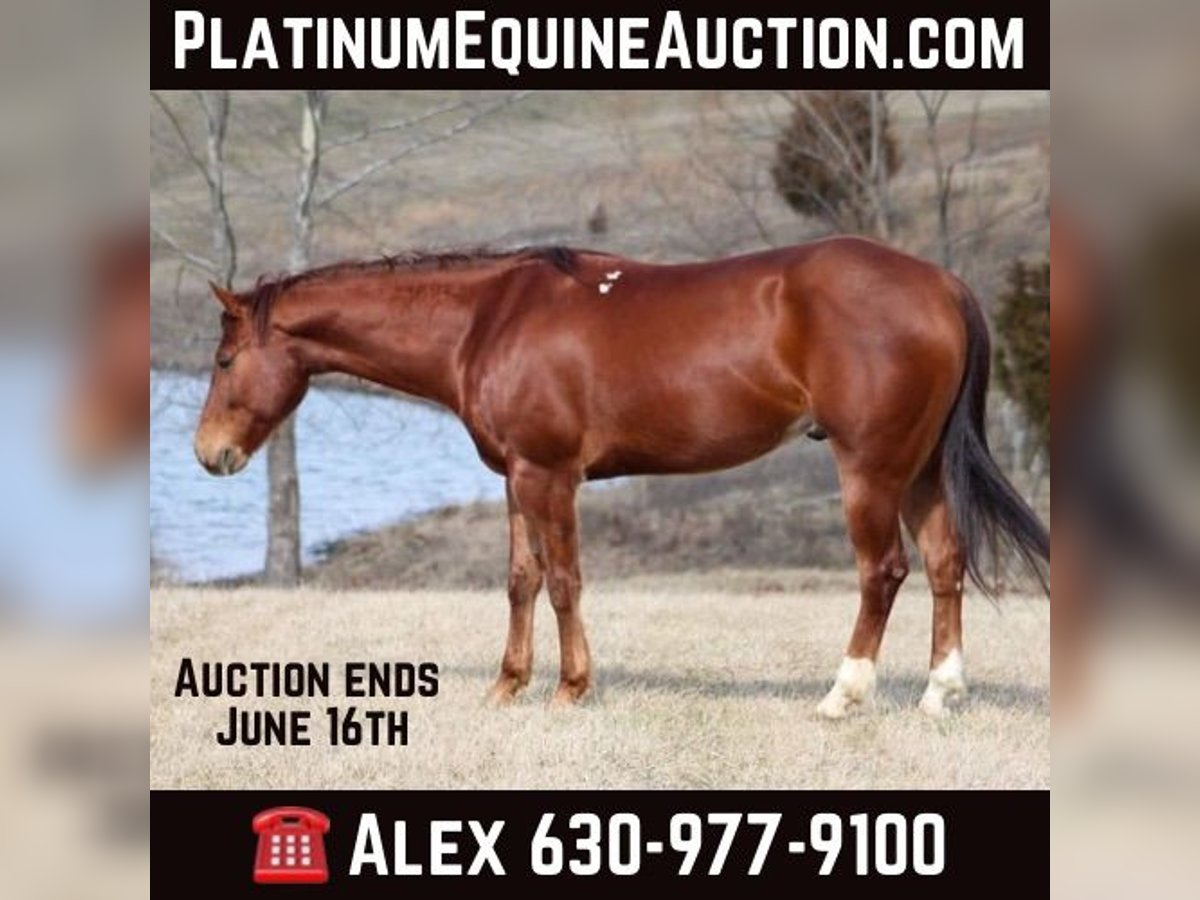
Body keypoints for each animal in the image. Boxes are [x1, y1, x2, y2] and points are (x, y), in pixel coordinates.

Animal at [193, 237, 1049, 717]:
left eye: (225, 360)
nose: (208, 454)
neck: (487, 321)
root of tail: (943, 284)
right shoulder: (513, 476)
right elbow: (521, 579)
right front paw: (507, 686)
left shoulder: (549, 476)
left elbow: (564, 580)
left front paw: (570, 689)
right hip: (922, 465)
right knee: (944, 565)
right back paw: (940, 695)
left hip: (870, 465)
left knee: (884, 571)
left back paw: (843, 696)